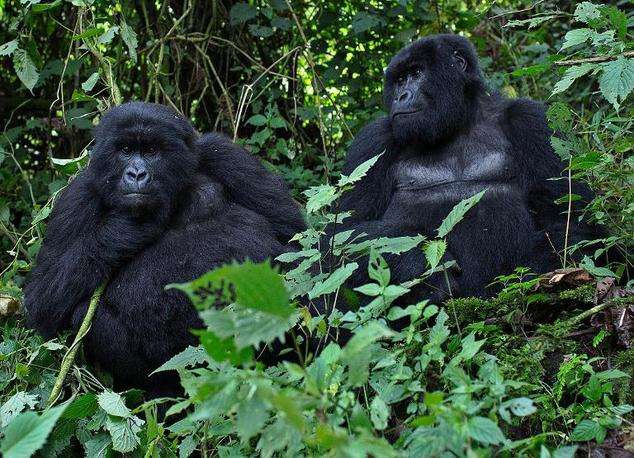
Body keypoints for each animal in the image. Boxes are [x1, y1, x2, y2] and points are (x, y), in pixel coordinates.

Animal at [25, 102, 308, 396]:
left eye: (151, 151)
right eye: (125, 150)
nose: (136, 174)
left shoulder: (224, 155)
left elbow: (294, 241)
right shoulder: (78, 196)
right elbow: (42, 301)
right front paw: (123, 229)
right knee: (83, 315)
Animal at [334, 35, 600, 300]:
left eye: (417, 73)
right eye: (399, 80)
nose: (401, 96)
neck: (458, 123)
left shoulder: (531, 121)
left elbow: (570, 222)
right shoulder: (373, 141)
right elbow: (344, 235)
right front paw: (423, 267)